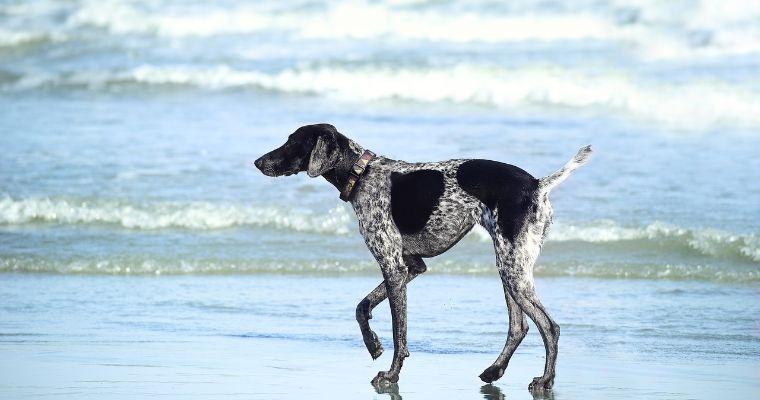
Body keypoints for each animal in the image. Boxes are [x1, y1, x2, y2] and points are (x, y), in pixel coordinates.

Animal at [255, 123, 592, 392]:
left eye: (292, 142)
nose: (257, 161)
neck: (361, 174)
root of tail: (537, 185)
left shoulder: (393, 267)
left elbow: (399, 333)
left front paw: (391, 374)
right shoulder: (411, 266)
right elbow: (362, 307)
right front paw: (372, 344)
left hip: (513, 270)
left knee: (549, 327)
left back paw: (545, 380)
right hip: (509, 268)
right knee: (519, 327)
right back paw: (494, 371)